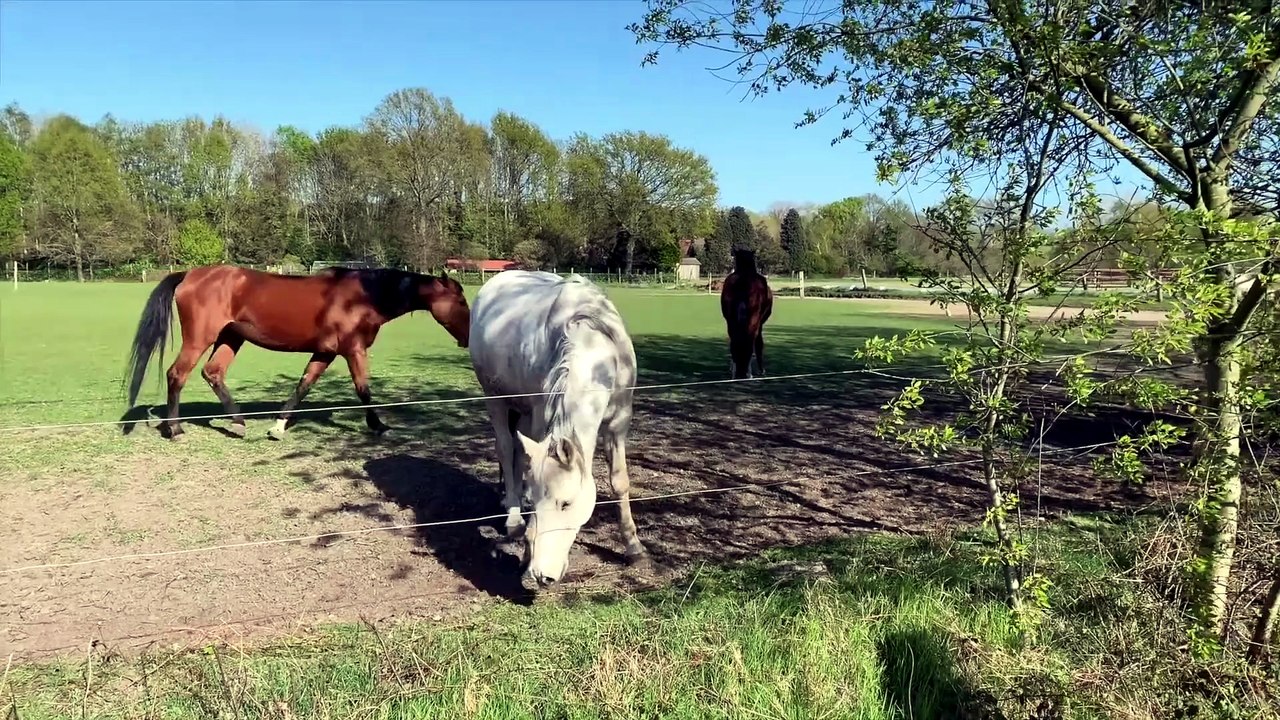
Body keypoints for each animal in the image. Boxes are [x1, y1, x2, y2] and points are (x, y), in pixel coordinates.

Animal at [123, 264, 471, 441]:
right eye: (461, 301)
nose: (468, 338)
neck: (362, 297)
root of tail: (191, 275)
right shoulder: (353, 349)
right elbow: (363, 389)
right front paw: (378, 425)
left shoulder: (326, 352)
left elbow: (304, 384)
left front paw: (278, 426)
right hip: (200, 338)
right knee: (177, 374)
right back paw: (176, 429)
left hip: (230, 338)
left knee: (213, 373)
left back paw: (238, 423)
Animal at [468, 270, 646, 588]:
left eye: (566, 503)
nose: (541, 575)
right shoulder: (542, 416)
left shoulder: (619, 421)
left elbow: (619, 481)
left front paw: (633, 546)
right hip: (495, 398)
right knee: (505, 447)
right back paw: (513, 514)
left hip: (522, 410)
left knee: (517, 451)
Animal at [720, 248, 773, 379]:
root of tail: (742, 281)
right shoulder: (760, 323)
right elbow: (759, 343)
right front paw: (762, 370)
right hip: (753, 320)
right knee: (751, 341)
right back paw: (748, 373)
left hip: (731, 321)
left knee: (734, 341)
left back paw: (736, 372)